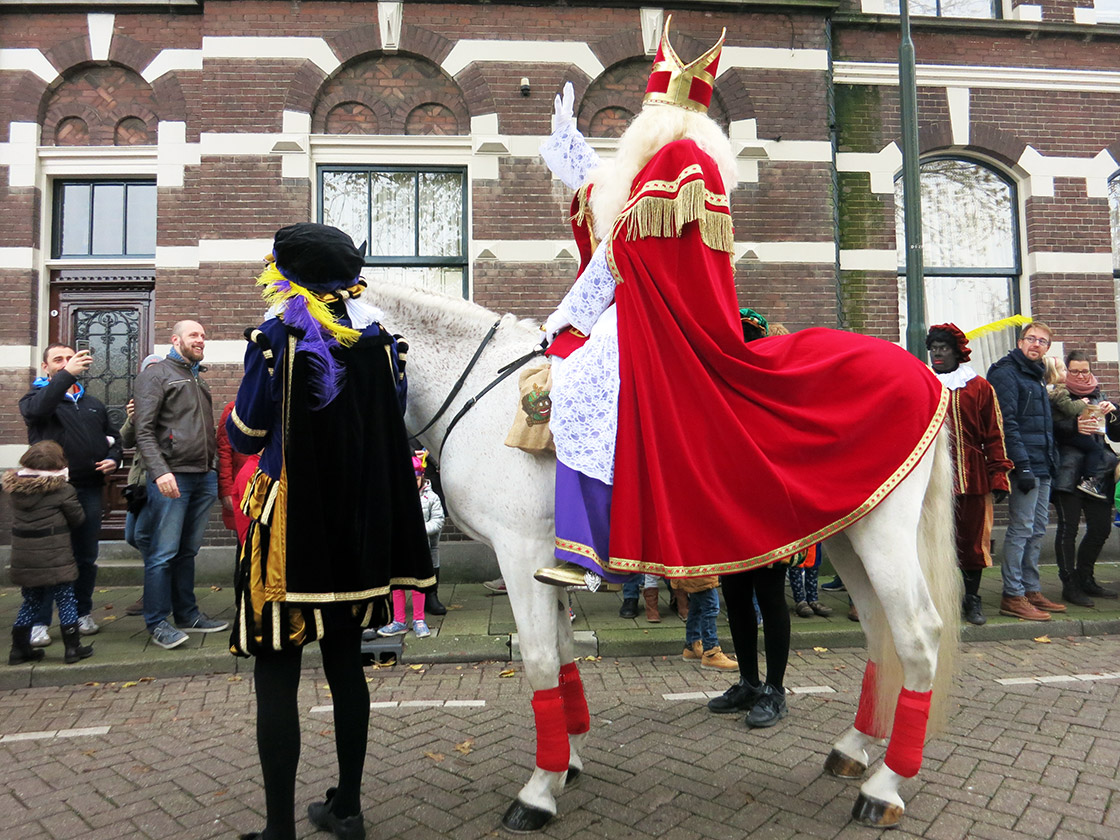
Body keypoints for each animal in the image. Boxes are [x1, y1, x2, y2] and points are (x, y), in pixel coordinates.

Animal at [369, 281, 963, 828]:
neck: (481, 395)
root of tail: (927, 377)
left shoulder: (521, 552)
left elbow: (539, 661)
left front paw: (537, 792)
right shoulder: (548, 565)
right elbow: (563, 654)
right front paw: (568, 761)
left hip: (882, 536)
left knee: (918, 635)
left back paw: (884, 788)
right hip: (848, 533)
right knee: (880, 631)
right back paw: (853, 749)